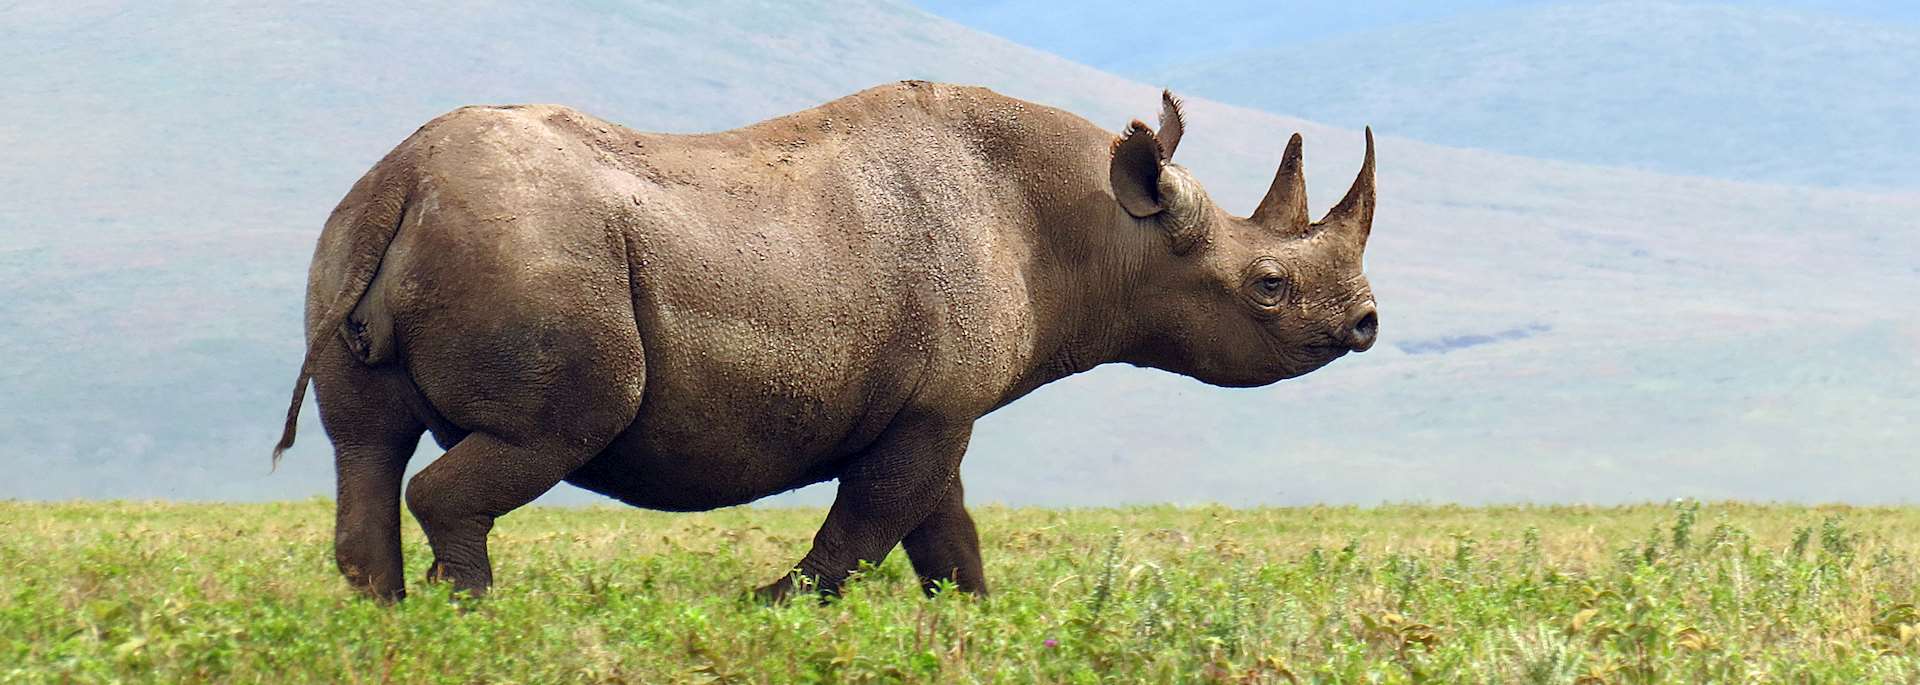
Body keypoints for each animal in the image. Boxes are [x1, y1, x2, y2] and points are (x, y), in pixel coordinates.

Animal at [275, 81, 1379, 602]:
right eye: (1268, 287)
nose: (1365, 323)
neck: (1108, 228)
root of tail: (403, 180)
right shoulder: (933, 405)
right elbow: (871, 524)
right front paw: (762, 606)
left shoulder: (936, 406)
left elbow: (944, 533)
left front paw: (974, 627)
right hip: (536, 251)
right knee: (557, 428)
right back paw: (475, 618)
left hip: (355, 232)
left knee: (365, 445)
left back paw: (390, 622)